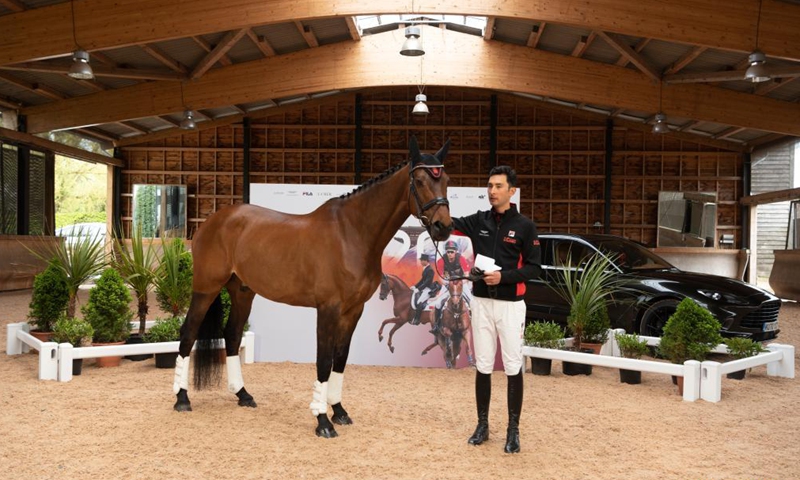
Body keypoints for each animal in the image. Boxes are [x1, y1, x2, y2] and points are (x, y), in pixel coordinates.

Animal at [172, 137, 453, 439]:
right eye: (420, 180)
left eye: (446, 180)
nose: (443, 227)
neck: (352, 234)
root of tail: (212, 221)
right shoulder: (328, 309)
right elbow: (324, 360)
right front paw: (322, 421)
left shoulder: (354, 310)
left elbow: (340, 358)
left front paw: (339, 411)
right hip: (206, 288)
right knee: (188, 333)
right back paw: (182, 398)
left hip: (242, 292)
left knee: (233, 335)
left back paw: (243, 395)